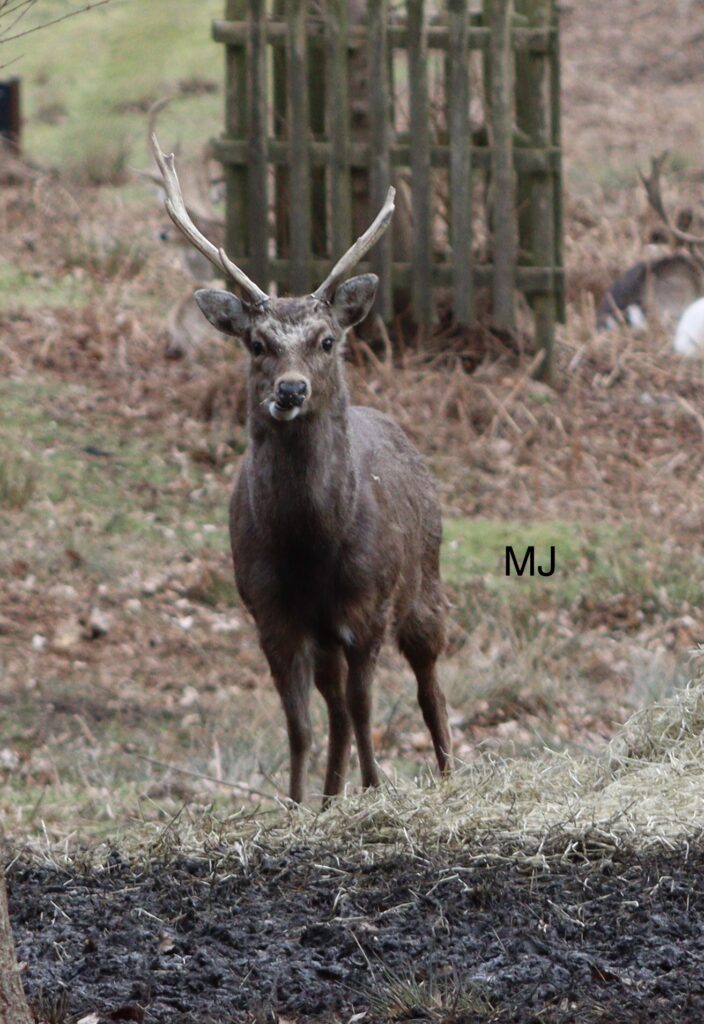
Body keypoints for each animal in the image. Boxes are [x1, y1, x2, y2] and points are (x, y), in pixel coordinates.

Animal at [152, 133, 453, 805]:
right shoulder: (272, 613)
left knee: (429, 685)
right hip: (325, 636)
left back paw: (448, 772)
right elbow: (300, 725)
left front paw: (375, 789)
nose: (290, 390)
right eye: (256, 343)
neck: (313, 543)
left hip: (424, 581)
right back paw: (330, 795)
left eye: (326, 340)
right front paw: (295, 805)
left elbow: (367, 709)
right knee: (334, 707)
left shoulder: (368, 606)